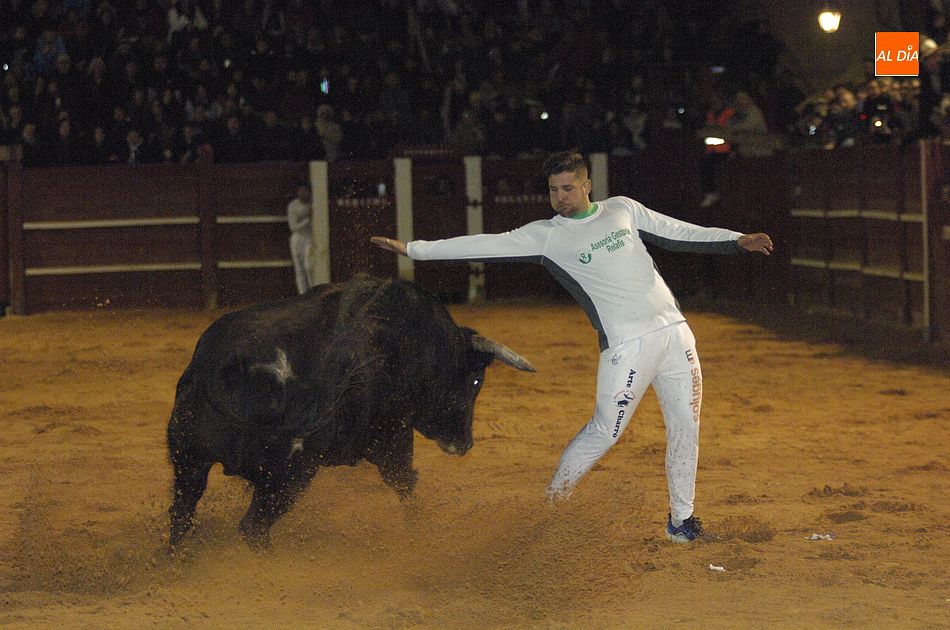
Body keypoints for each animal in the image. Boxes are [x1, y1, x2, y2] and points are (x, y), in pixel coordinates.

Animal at [169, 276, 536, 548]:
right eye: (475, 380)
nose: (464, 444)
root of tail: (217, 368)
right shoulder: (393, 432)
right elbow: (404, 482)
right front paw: (420, 531)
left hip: (188, 460)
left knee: (181, 514)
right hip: (287, 475)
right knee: (252, 527)